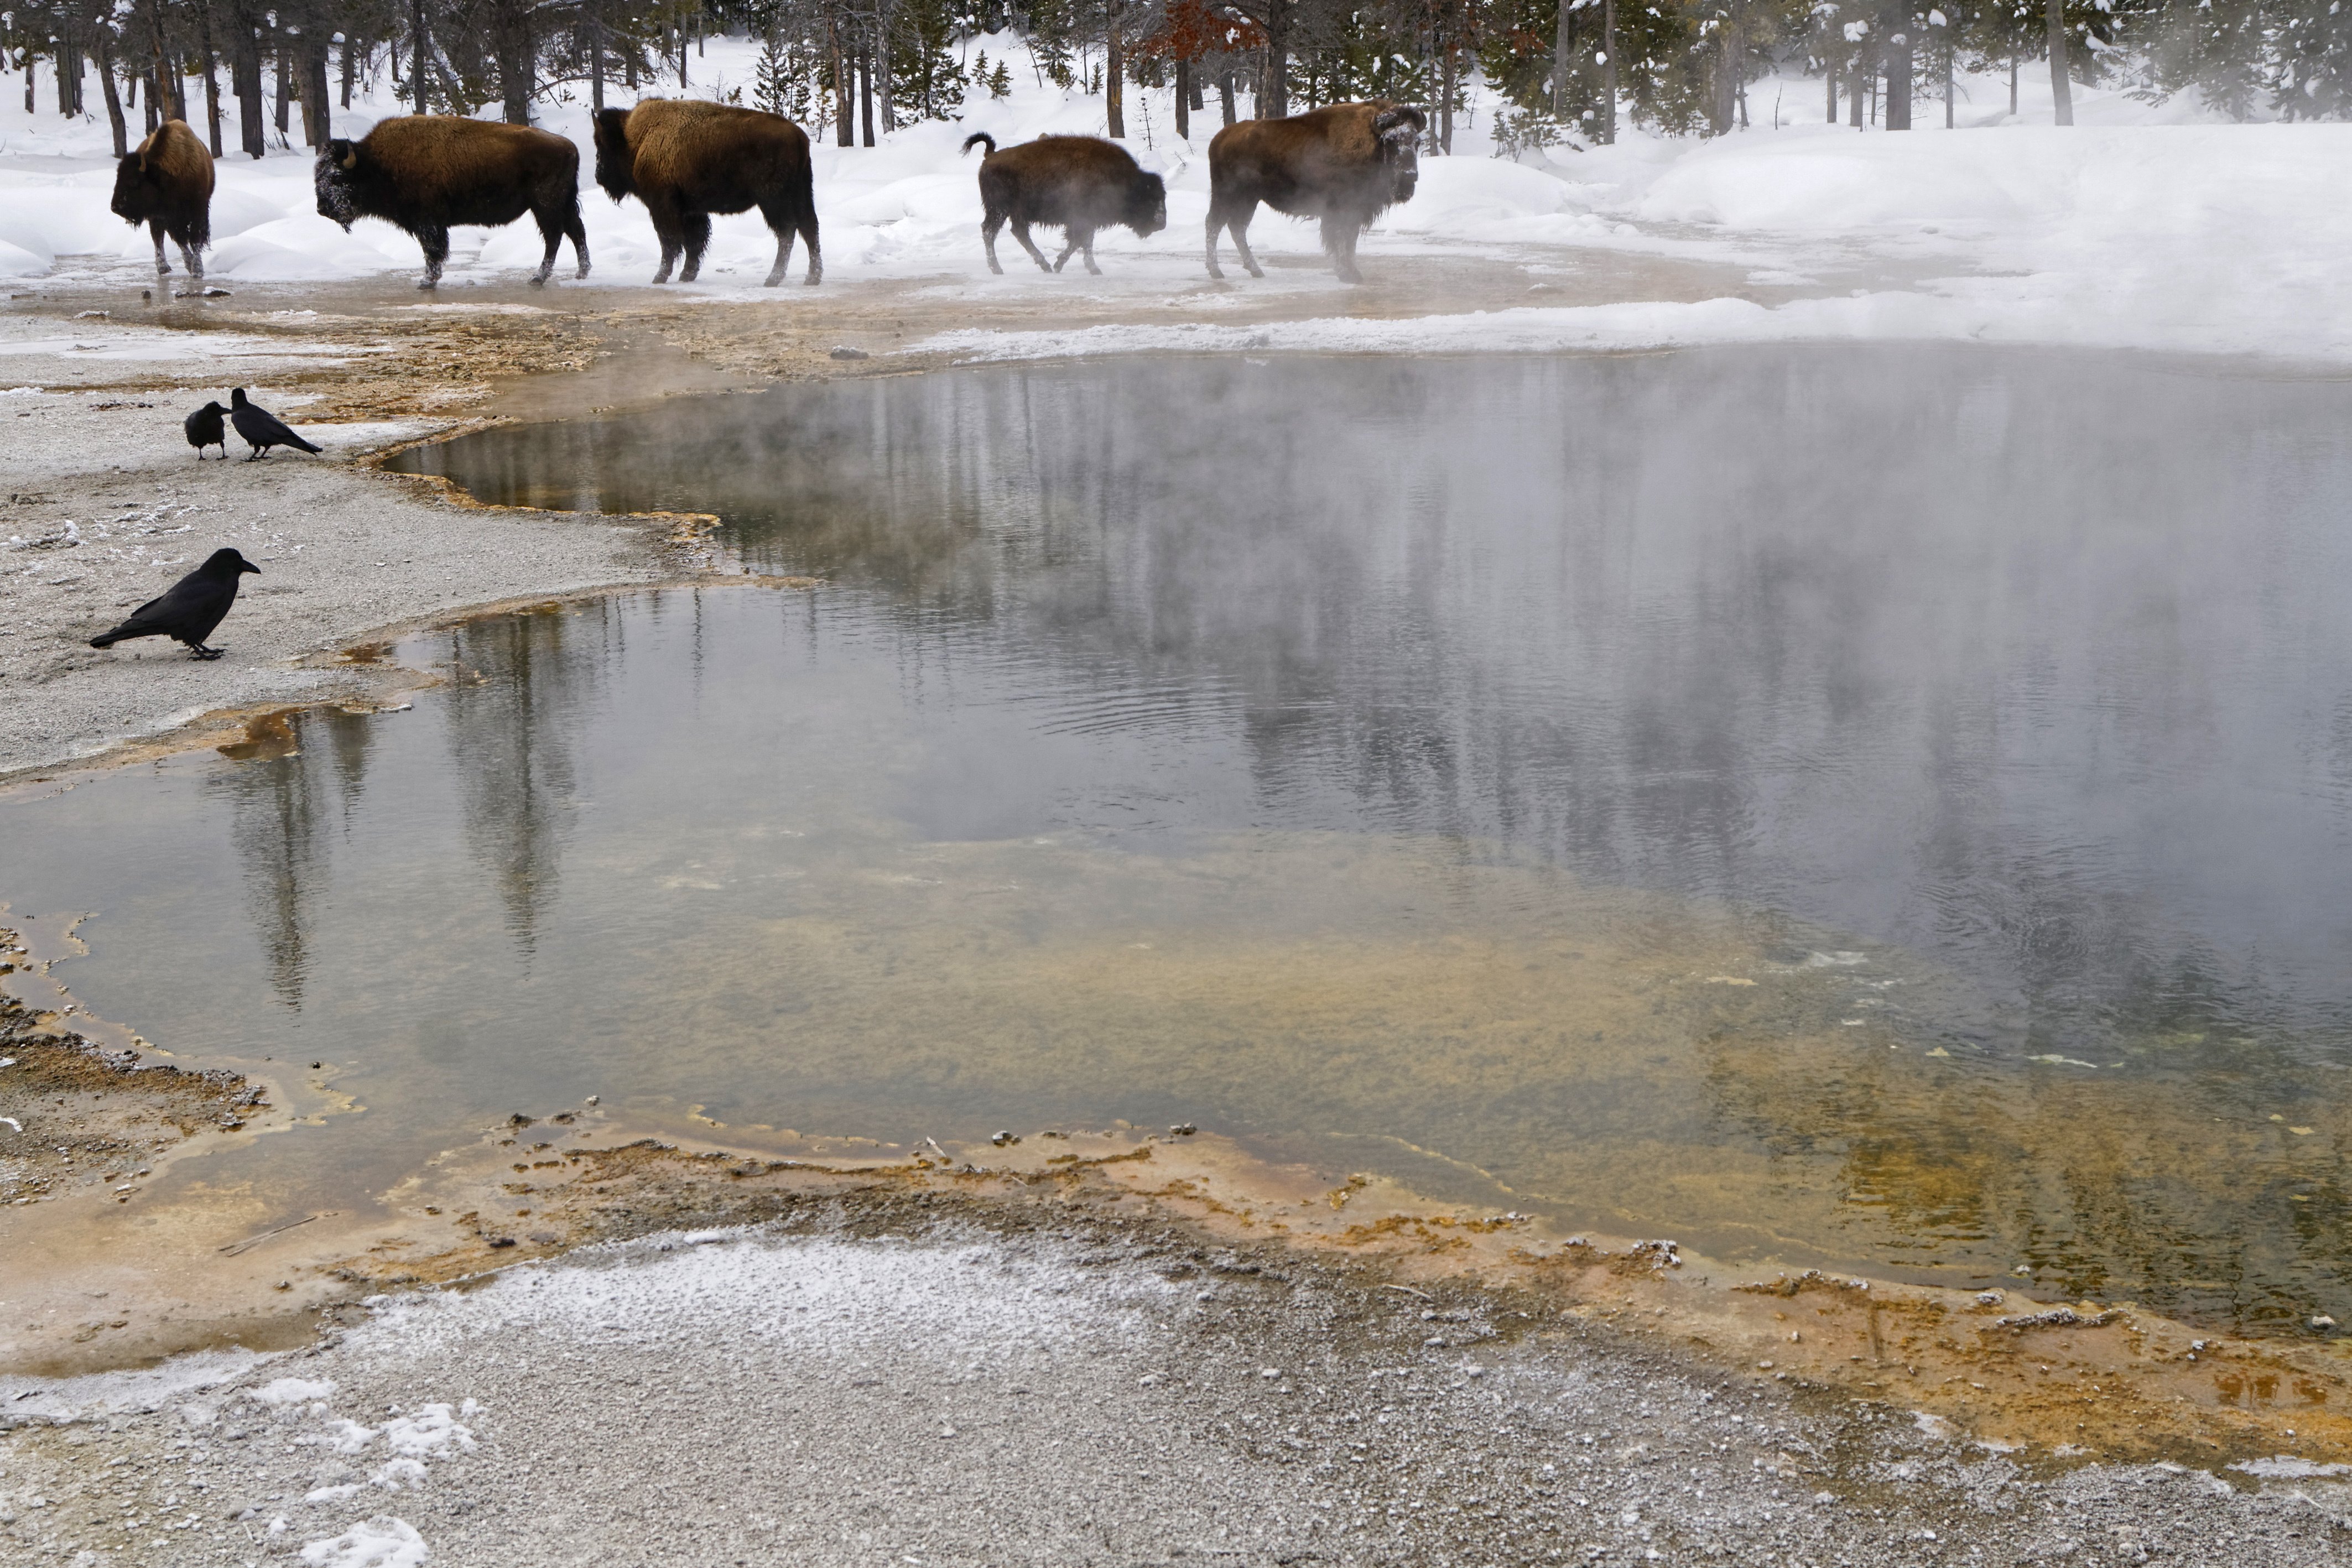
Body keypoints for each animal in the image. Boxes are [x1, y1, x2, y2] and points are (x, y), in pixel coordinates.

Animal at [110, 121, 216, 286]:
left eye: (134, 182)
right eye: (118, 179)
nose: (115, 207)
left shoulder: (198, 210)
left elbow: (194, 239)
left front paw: (197, 270)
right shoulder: (165, 217)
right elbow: (179, 239)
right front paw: (193, 267)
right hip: (158, 218)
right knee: (159, 239)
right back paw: (163, 268)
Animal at [318, 116, 588, 291]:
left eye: (337, 177)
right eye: (318, 176)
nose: (322, 209)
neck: (378, 164)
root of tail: (571, 147)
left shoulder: (429, 222)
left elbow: (432, 251)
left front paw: (427, 282)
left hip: (546, 206)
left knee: (554, 238)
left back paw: (538, 278)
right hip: (562, 205)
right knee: (576, 232)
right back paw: (581, 273)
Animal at [592, 100, 823, 288]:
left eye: (602, 144)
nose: (598, 176)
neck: (637, 139)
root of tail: (799, 136)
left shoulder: (663, 206)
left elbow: (670, 242)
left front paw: (660, 277)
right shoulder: (691, 210)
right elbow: (694, 242)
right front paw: (687, 275)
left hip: (773, 199)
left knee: (787, 231)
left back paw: (773, 279)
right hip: (801, 193)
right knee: (809, 227)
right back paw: (812, 278)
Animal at [955, 133, 1166, 275]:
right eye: (1150, 199)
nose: (1161, 224)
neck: (1124, 181)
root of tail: (990, 156)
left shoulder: (1086, 220)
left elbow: (1083, 242)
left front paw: (1089, 268)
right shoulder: (1082, 219)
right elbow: (1079, 241)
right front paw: (1071, 266)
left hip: (1015, 213)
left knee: (1018, 232)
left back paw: (1044, 265)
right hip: (999, 209)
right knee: (990, 231)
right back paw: (998, 268)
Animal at [1204, 100, 1420, 285]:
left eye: (1417, 142)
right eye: (1390, 141)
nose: (1409, 176)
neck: (1371, 141)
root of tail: (1220, 137)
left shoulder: (1355, 211)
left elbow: (1350, 242)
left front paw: (1353, 272)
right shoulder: (1340, 210)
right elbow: (1340, 240)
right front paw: (1347, 274)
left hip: (1249, 200)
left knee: (1236, 228)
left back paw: (1256, 270)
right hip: (1227, 195)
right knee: (1214, 225)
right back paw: (1217, 271)